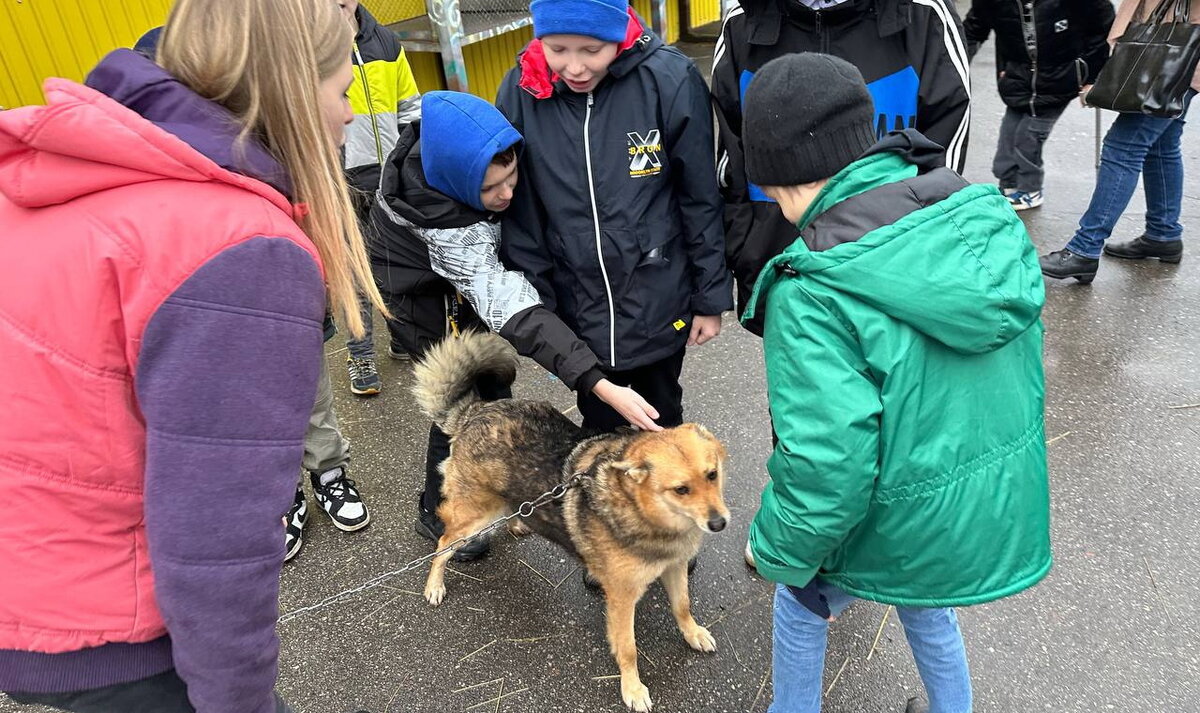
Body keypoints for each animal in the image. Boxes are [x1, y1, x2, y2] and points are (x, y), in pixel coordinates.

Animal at [412, 331, 729, 705]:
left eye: (712, 475)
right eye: (681, 490)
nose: (719, 524)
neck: (645, 513)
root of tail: (478, 410)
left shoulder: (676, 567)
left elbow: (682, 607)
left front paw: (693, 633)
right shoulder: (621, 598)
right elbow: (628, 648)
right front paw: (632, 688)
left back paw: (519, 521)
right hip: (473, 515)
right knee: (444, 543)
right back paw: (434, 584)